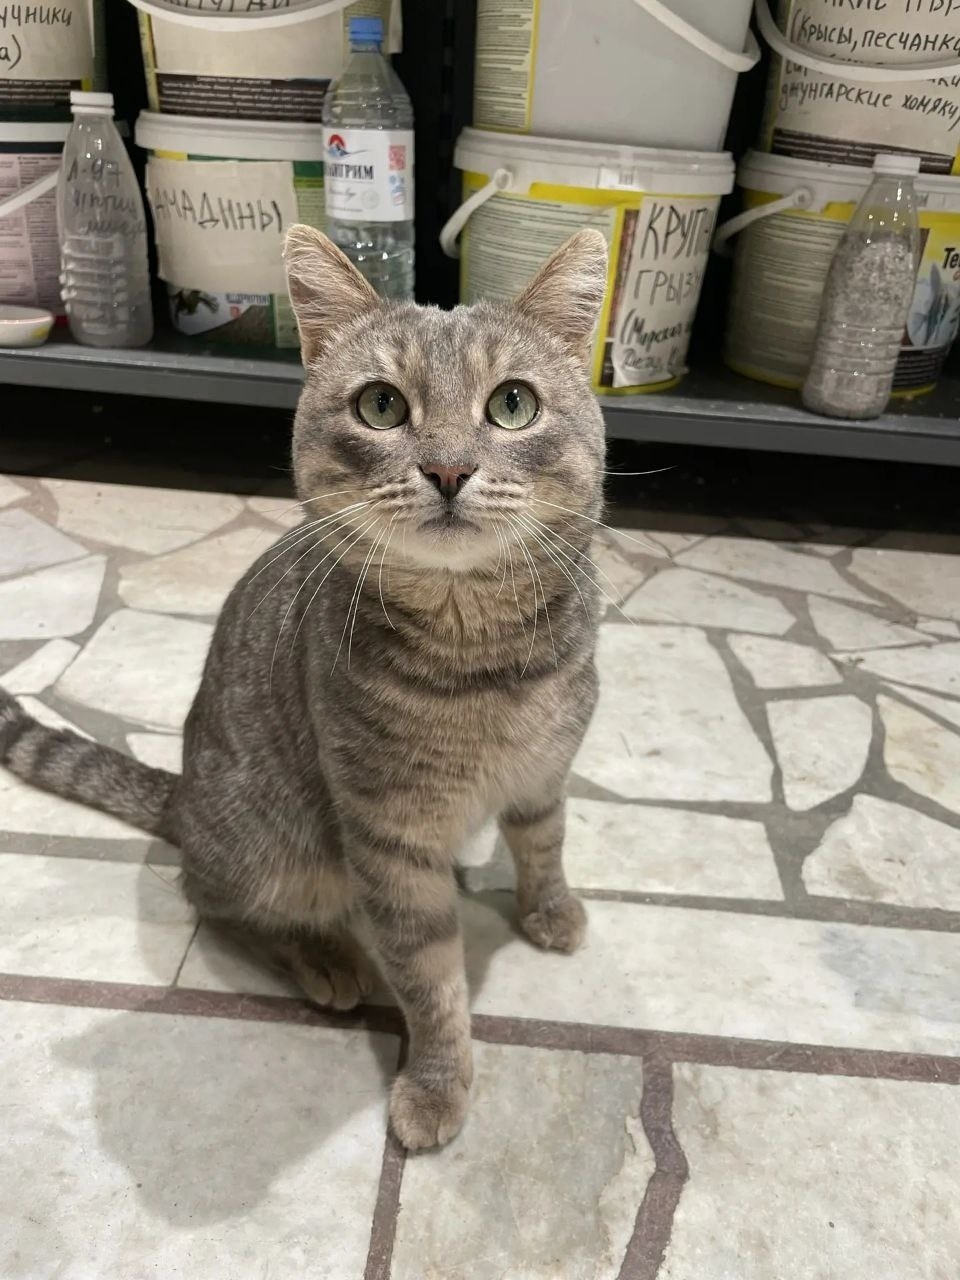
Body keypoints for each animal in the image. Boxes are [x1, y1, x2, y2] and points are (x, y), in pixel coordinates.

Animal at [0, 224, 608, 1149]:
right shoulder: (390, 840)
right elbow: (431, 978)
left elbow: (545, 845)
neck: (482, 655)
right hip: (278, 853)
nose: (448, 470)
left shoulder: (545, 773)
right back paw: (325, 959)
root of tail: (182, 798)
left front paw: (550, 909)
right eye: (382, 407)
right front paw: (437, 1084)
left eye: (513, 404)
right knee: (220, 904)